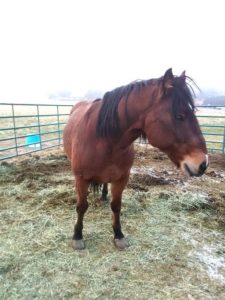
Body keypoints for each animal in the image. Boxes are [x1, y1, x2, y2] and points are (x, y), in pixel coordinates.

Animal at [62, 69, 207, 250]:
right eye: (179, 116)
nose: (203, 164)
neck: (104, 140)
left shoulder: (122, 178)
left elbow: (116, 206)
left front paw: (118, 235)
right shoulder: (81, 179)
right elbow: (81, 207)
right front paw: (77, 236)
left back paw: (103, 196)